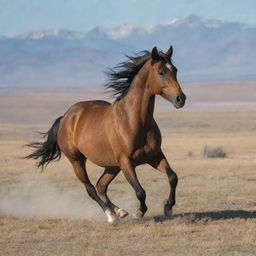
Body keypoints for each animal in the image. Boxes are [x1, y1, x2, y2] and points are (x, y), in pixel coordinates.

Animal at [26, 46, 186, 224]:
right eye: (161, 72)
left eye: (175, 70)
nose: (181, 99)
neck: (134, 121)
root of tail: (66, 117)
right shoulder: (126, 162)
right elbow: (140, 191)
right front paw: (139, 212)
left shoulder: (155, 156)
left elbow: (173, 177)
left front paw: (168, 207)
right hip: (77, 161)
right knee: (91, 189)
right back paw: (111, 215)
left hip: (111, 166)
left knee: (101, 186)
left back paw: (120, 211)